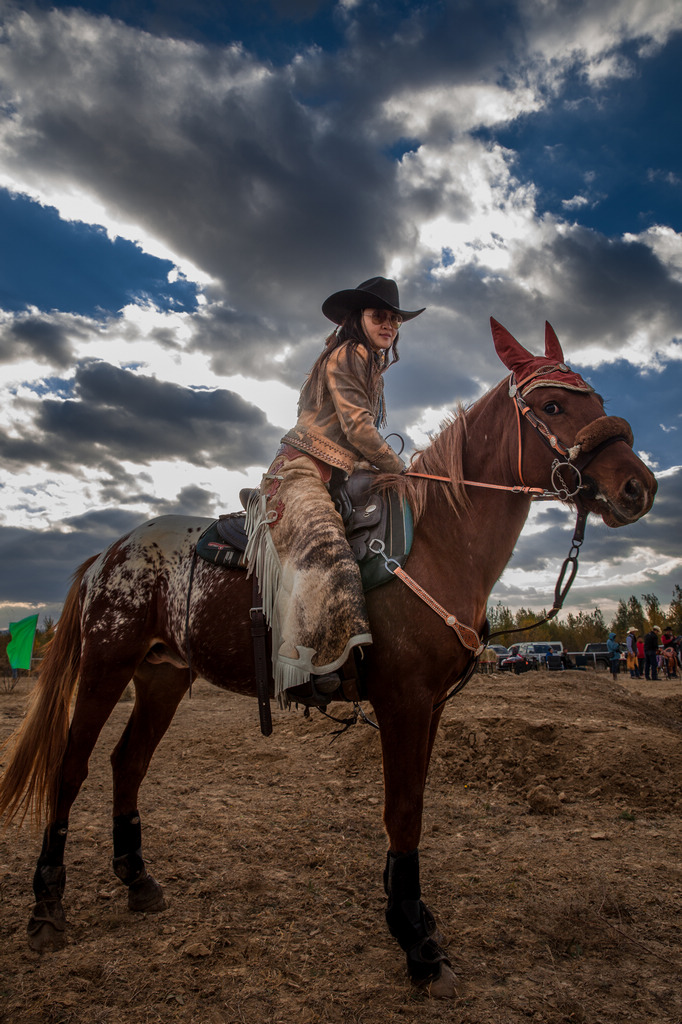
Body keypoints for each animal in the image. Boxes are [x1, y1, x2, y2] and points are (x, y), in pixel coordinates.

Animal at [0, 319, 655, 991]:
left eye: (596, 399)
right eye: (552, 406)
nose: (640, 486)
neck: (438, 543)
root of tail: (110, 552)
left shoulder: (432, 708)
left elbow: (414, 804)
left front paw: (412, 917)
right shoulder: (403, 702)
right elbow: (404, 811)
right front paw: (418, 944)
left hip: (163, 677)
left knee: (127, 763)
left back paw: (138, 880)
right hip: (105, 666)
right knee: (70, 769)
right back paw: (46, 908)